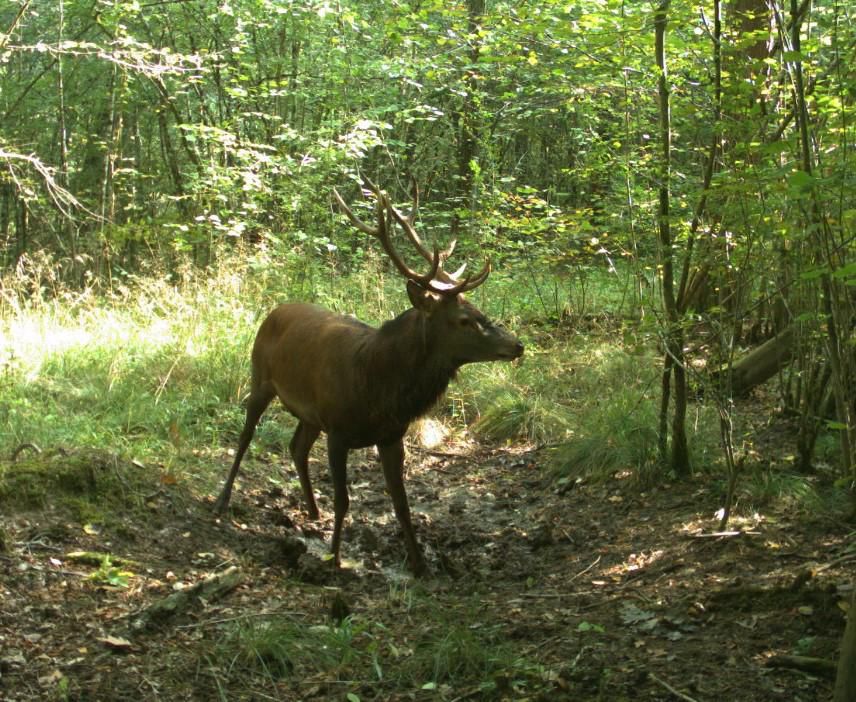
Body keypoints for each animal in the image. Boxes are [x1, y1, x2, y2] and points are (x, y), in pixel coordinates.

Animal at [213, 180, 524, 575]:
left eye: (479, 310)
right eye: (464, 320)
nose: (517, 345)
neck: (378, 390)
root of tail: (275, 309)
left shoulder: (391, 436)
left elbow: (402, 503)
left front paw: (419, 564)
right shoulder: (338, 431)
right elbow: (344, 499)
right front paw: (333, 559)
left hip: (311, 414)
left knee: (297, 447)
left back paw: (312, 510)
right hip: (260, 378)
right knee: (245, 437)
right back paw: (222, 500)